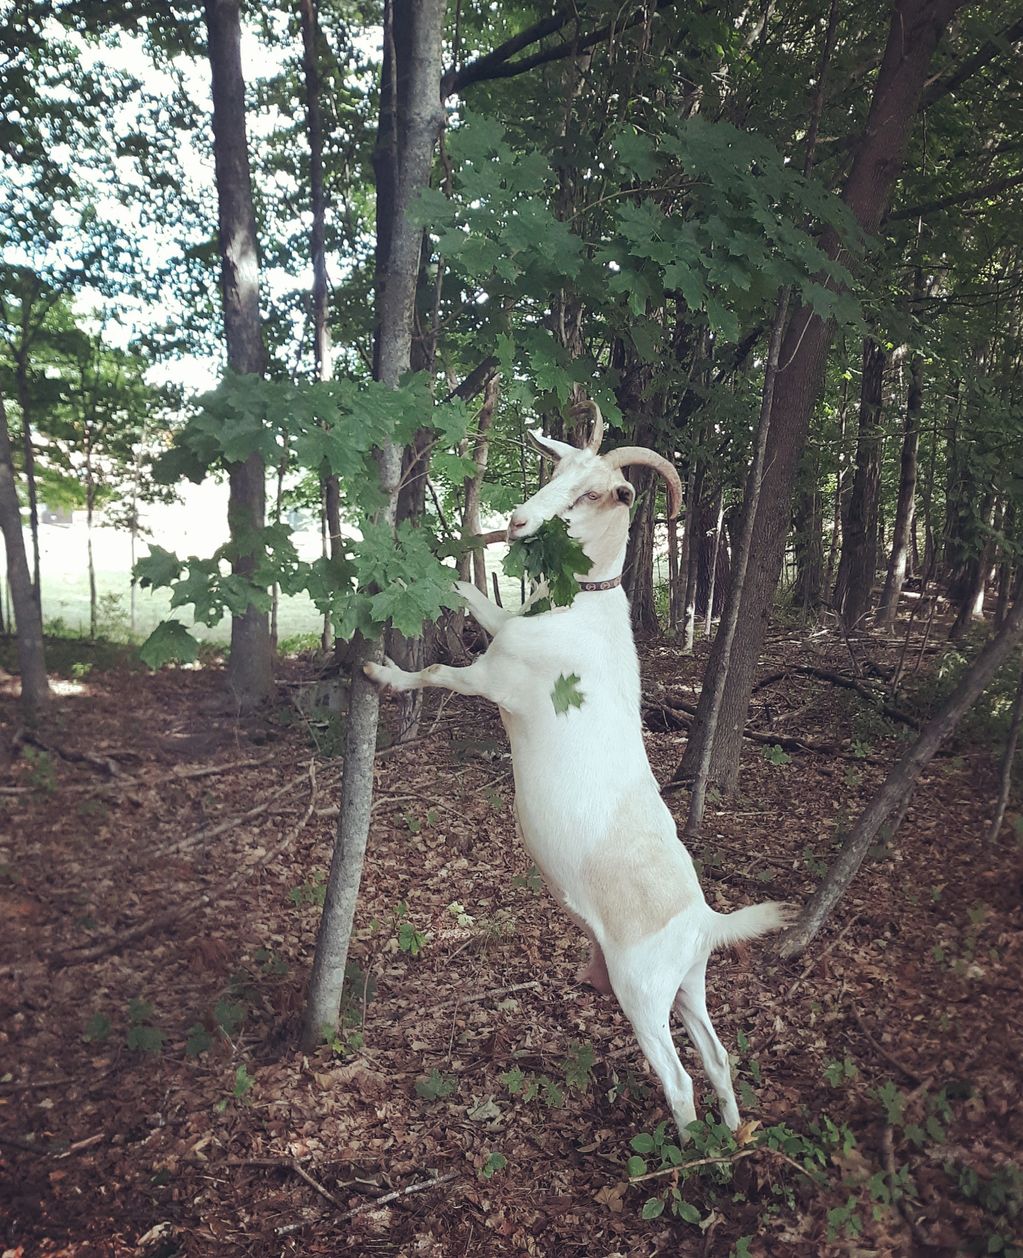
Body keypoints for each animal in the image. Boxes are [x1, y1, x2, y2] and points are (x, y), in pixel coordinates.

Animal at [365, 404, 789, 1137]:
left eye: (594, 494)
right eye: (556, 469)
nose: (516, 522)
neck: (579, 604)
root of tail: (704, 922)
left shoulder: (497, 678)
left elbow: (437, 670)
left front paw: (381, 672)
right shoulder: (503, 624)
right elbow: (472, 591)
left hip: (642, 992)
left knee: (679, 1079)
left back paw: (685, 1150)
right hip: (687, 986)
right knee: (717, 1056)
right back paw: (733, 1135)